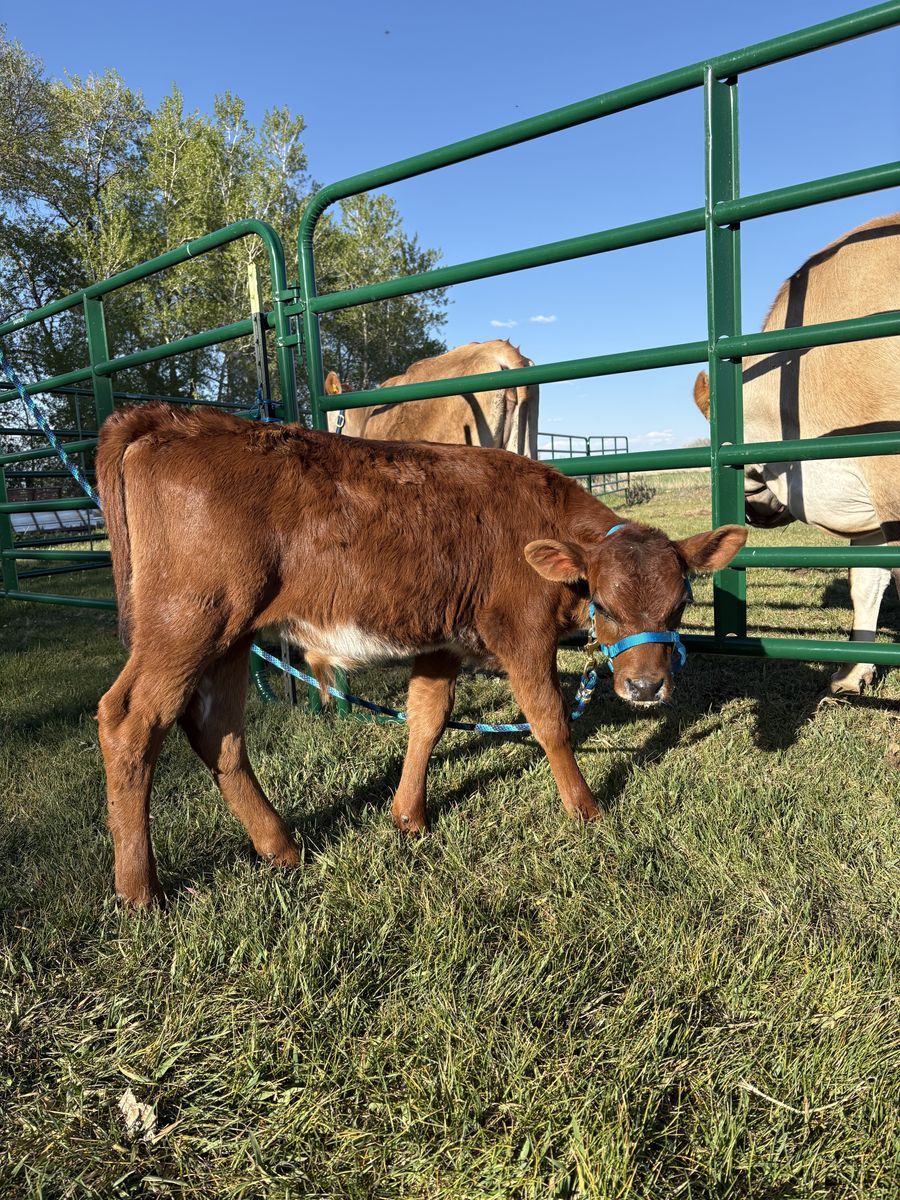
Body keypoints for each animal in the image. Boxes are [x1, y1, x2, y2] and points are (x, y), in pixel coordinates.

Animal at [95, 403, 745, 906]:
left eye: (680, 603)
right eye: (604, 603)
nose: (645, 687)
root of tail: (173, 419)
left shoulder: (444, 642)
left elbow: (427, 718)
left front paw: (408, 816)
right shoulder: (521, 633)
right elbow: (550, 721)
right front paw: (586, 810)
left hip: (230, 637)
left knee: (219, 732)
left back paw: (280, 847)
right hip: (187, 620)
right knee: (131, 720)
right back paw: (139, 890)